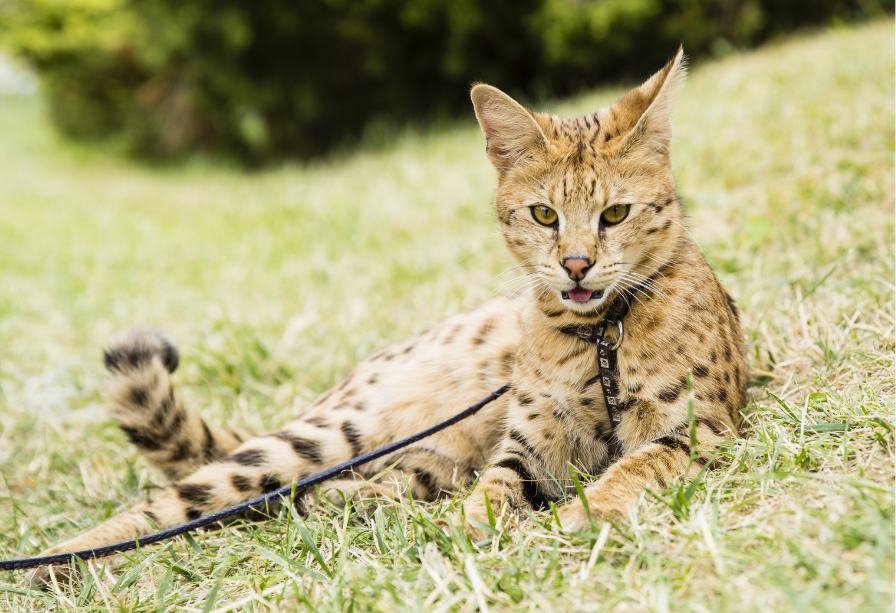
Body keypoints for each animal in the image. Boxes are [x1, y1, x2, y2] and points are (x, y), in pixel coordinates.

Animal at [29, 49, 748, 584]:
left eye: (615, 214)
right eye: (544, 214)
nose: (575, 264)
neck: (599, 333)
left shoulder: (698, 429)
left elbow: (630, 468)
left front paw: (578, 517)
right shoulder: (528, 448)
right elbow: (495, 490)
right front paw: (475, 531)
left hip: (418, 459)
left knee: (319, 493)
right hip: (328, 434)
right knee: (179, 501)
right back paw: (60, 559)